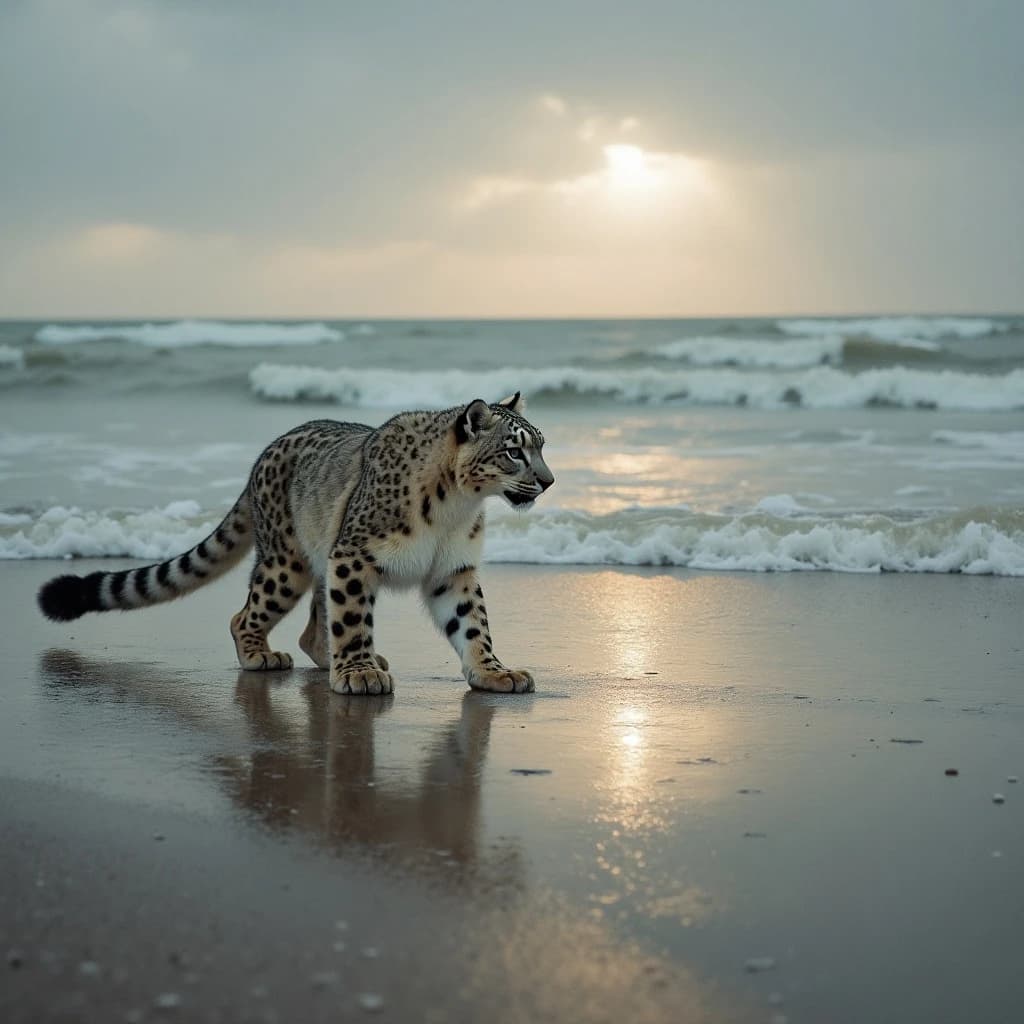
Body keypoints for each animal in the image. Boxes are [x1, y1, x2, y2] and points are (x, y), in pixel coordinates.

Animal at [37, 393, 554, 696]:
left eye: (542, 445)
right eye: (514, 450)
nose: (548, 481)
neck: (457, 507)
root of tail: (262, 456)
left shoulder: (453, 568)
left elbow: (472, 625)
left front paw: (494, 672)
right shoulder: (355, 556)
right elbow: (353, 619)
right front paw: (359, 674)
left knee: (313, 627)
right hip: (289, 564)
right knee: (247, 613)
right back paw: (263, 656)